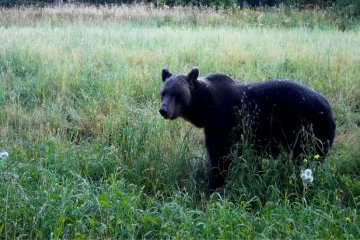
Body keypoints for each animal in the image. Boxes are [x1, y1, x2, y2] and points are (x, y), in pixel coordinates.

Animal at [159, 67, 336, 191]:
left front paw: (213, 186)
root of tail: (328, 106)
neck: (206, 108)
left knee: (309, 157)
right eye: (163, 92)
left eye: (177, 94)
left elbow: (220, 157)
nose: (163, 110)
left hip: (311, 129)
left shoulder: (223, 121)